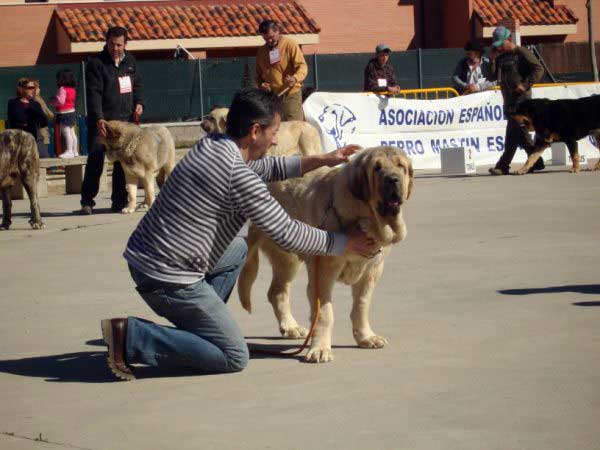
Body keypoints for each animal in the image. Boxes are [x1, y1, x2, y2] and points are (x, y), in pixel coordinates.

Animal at [237, 146, 414, 364]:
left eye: (400, 166)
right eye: (377, 168)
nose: (393, 179)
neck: (367, 217)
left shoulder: (372, 271)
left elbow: (361, 305)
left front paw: (366, 337)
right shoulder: (323, 272)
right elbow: (324, 313)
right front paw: (320, 349)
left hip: (288, 260)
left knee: (277, 291)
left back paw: (291, 327)